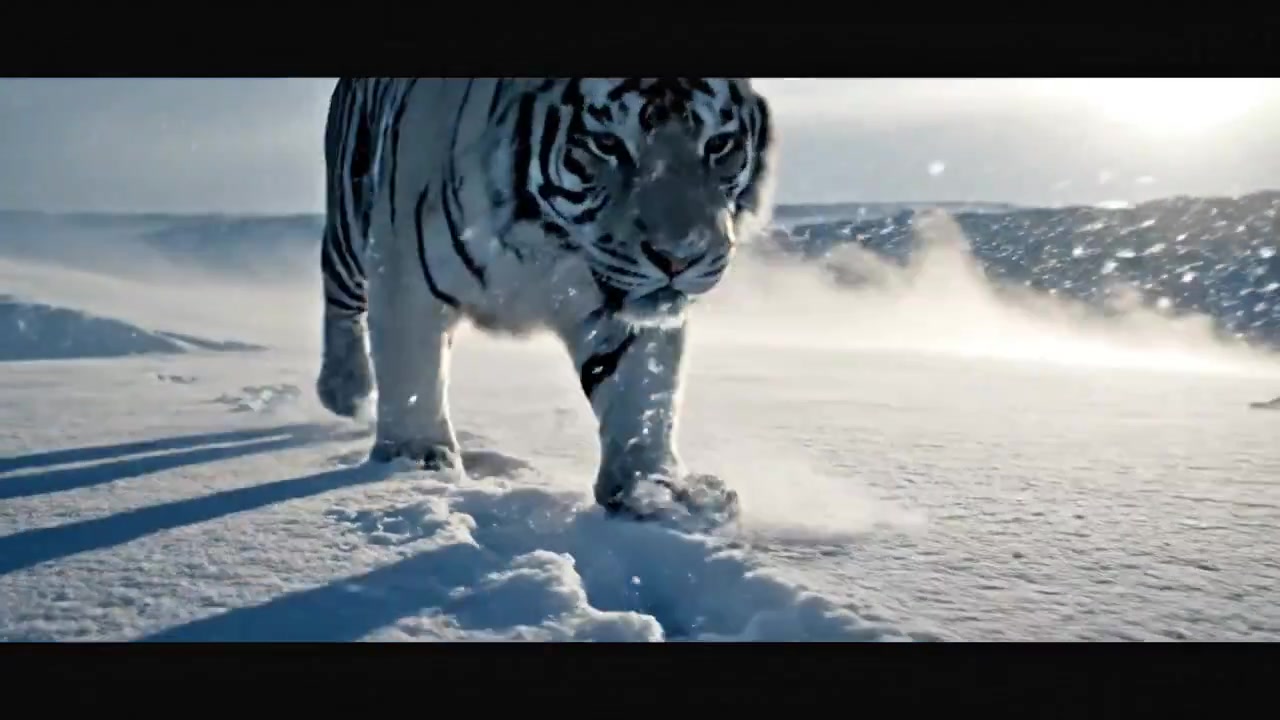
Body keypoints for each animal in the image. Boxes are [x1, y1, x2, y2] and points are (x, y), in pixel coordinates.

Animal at [315, 78, 776, 519]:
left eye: (719, 145)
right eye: (606, 143)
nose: (679, 256)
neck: (544, 237)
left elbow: (642, 386)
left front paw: (655, 488)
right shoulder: (405, 268)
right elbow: (413, 367)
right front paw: (415, 463)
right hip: (351, 220)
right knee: (339, 291)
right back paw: (345, 391)